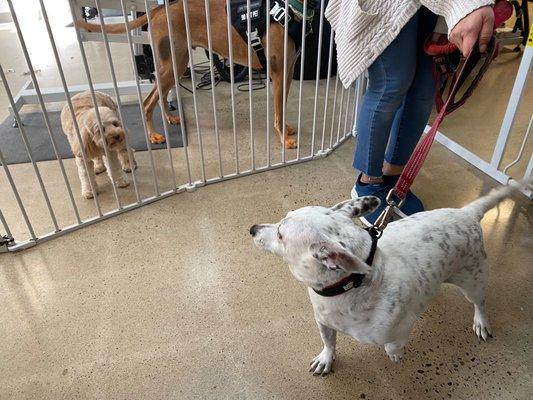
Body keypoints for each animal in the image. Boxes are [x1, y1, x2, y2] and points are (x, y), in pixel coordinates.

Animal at [74, 0, 304, 148]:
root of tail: (158, 9)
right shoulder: (279, 73)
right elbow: (278, 111)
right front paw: (283, 138)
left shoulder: (289, 72)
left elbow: (281, 108)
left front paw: (286, 129)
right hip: (172, 66)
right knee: (147, 102)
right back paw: (153, 136)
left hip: (176, 65)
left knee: (161, 96)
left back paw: (169, 118)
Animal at [249, 184, 516, 376]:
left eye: (281, 234)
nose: (252, 228)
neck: (346, 288)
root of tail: (466, 213)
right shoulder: (323, 322)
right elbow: (329, 342)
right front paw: (326, 359)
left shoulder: (401, 327)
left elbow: (393, 344)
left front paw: (395, 354)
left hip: (473, 281)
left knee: (479, 302)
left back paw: (481, 321)